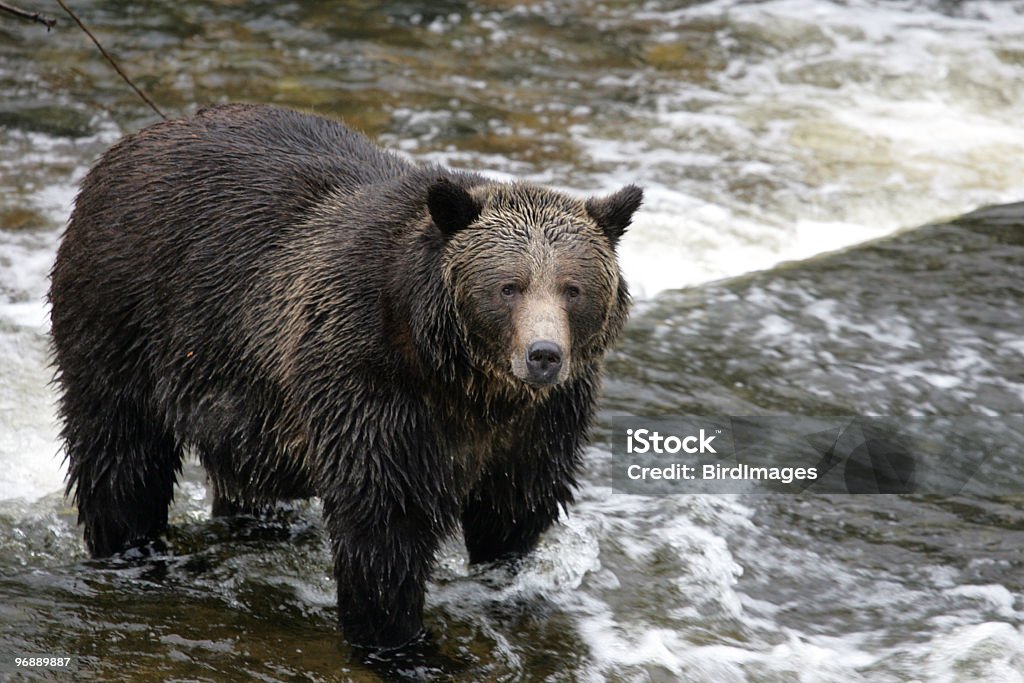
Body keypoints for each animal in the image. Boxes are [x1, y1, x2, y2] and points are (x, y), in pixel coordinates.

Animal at [49, 104, 638, 651]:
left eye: (572, 288)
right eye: (508, 286)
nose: (544, 355)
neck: (465, 381)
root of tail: (131, 143)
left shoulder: (542, 422)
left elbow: (514, 510)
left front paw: (508, 587)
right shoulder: (369, 379)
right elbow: (384, 520)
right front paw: (397, 639)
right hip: (125, 317)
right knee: (120, 454)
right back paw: (131, 551)